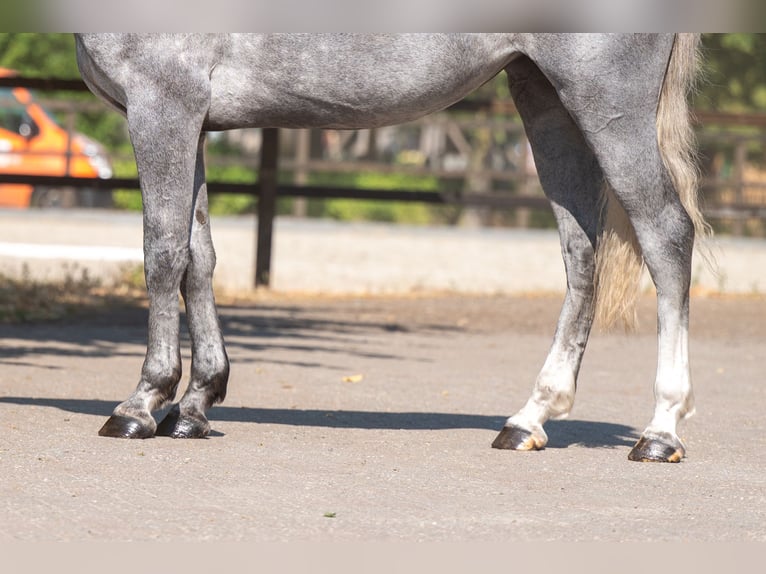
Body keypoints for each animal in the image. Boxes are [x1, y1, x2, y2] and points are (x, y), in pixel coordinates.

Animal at [74, 33, 707, 462]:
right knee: (581, 254)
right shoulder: (195, 121)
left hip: (609, 107)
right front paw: (196, 405)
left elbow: (162, 253)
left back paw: (660, 432)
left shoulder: (163, 107)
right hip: (545, 100)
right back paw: (529, 419)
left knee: (667, 234)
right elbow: (199, 259)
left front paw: (141, 404)